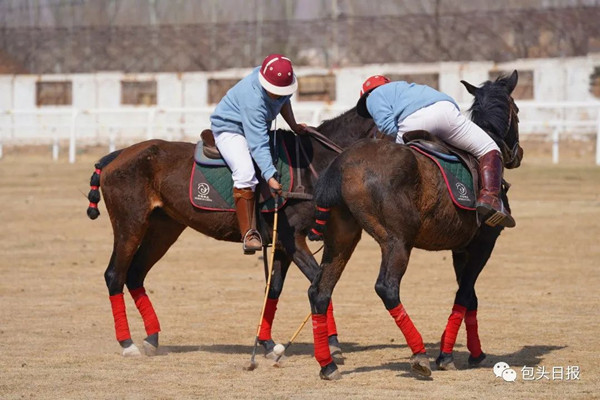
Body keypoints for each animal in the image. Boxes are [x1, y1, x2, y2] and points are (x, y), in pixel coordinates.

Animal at [85, 107, 376, 360]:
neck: (310, 164)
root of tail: (116, 155)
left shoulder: (283, 245)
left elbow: (274, 290)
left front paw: (268, 344)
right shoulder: (293, 239)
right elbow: (319, 282)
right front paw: (334, 345)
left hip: (164, 229)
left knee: (135, 274)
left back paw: (152, 338)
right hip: (130, 224)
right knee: (115, 275)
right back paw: (127, 344)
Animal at [308, 72, 524, 382]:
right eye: (516, 110)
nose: (518, 154)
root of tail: (342, 163)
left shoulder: (461, 248)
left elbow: (470, 297)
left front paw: (473, 352)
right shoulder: (483, 244)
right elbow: (465, 294)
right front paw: (446, 355)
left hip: (342, 239)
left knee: (320, 290)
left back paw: (328, 364)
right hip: (396, 242)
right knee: (387, 288)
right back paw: (419, 354)